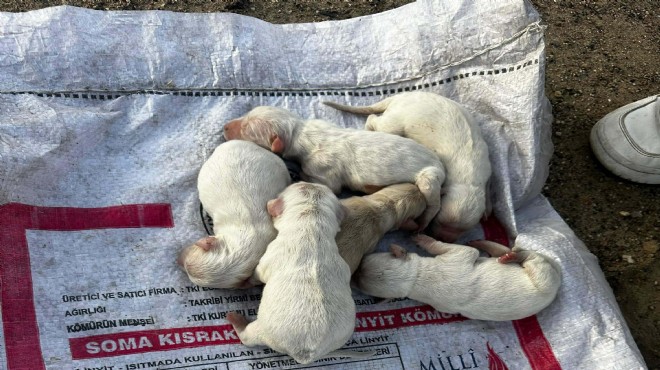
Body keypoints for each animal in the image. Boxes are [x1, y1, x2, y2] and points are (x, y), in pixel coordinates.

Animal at [224, 105, 446, 230]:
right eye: (246, 115)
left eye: (247, 129)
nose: (224, 127)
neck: (299, 131)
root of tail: (440, 164)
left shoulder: (323, 169)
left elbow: (327, 184)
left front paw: (297, 175)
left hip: (429, 178)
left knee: (433, 204)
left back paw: (423, 223)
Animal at [226, 182, 372, 364]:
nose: (308, 182)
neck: (312, 224)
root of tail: (306, 353)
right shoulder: (342, 264)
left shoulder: (271, 254)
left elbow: (257, 274)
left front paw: (246, 282)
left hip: (266, 330)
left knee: (249, 336)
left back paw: (236, 320)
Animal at [322, 92, 492, 243]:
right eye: (440, 222)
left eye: (463, 230)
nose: (444, 239)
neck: (469, 175)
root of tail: (399, 97)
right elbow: (434, 202)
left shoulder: (487, 172)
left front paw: (488, 210)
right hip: (395, 122)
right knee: (375, 120)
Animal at [354, 236, 560, 322]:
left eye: (362, 262)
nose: (352, 275)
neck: (415, 277)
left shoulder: (457, 256)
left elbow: (461, 249)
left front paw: (421, 238)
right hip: (544, 280)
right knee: (528, 258)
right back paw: (505, 254)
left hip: (544, 280)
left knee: (529, 257)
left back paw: (503, 253)